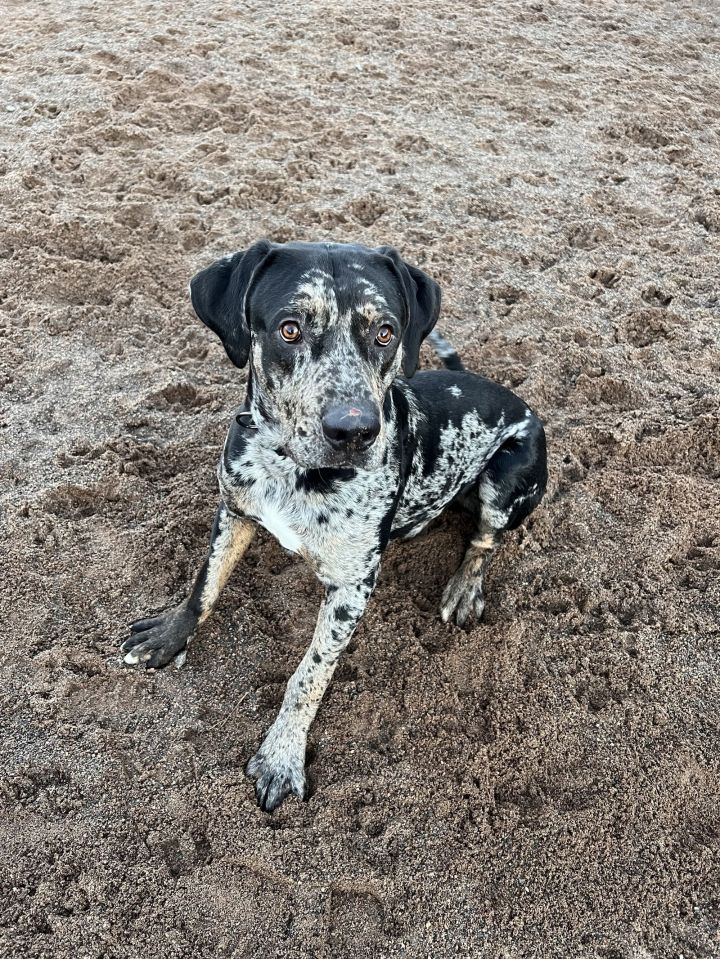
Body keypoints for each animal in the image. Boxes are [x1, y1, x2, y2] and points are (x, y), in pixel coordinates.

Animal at [121, 240, 548, 808]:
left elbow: (308, 674)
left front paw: (281, 756)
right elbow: (204, 586)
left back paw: (464, 587)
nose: (355, 430)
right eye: (290, 329)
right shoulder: (234, 509)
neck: (290, 470)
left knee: (485, 539)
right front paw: (169, 635)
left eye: (385, 332)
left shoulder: (352, 586)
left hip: (509, 477)